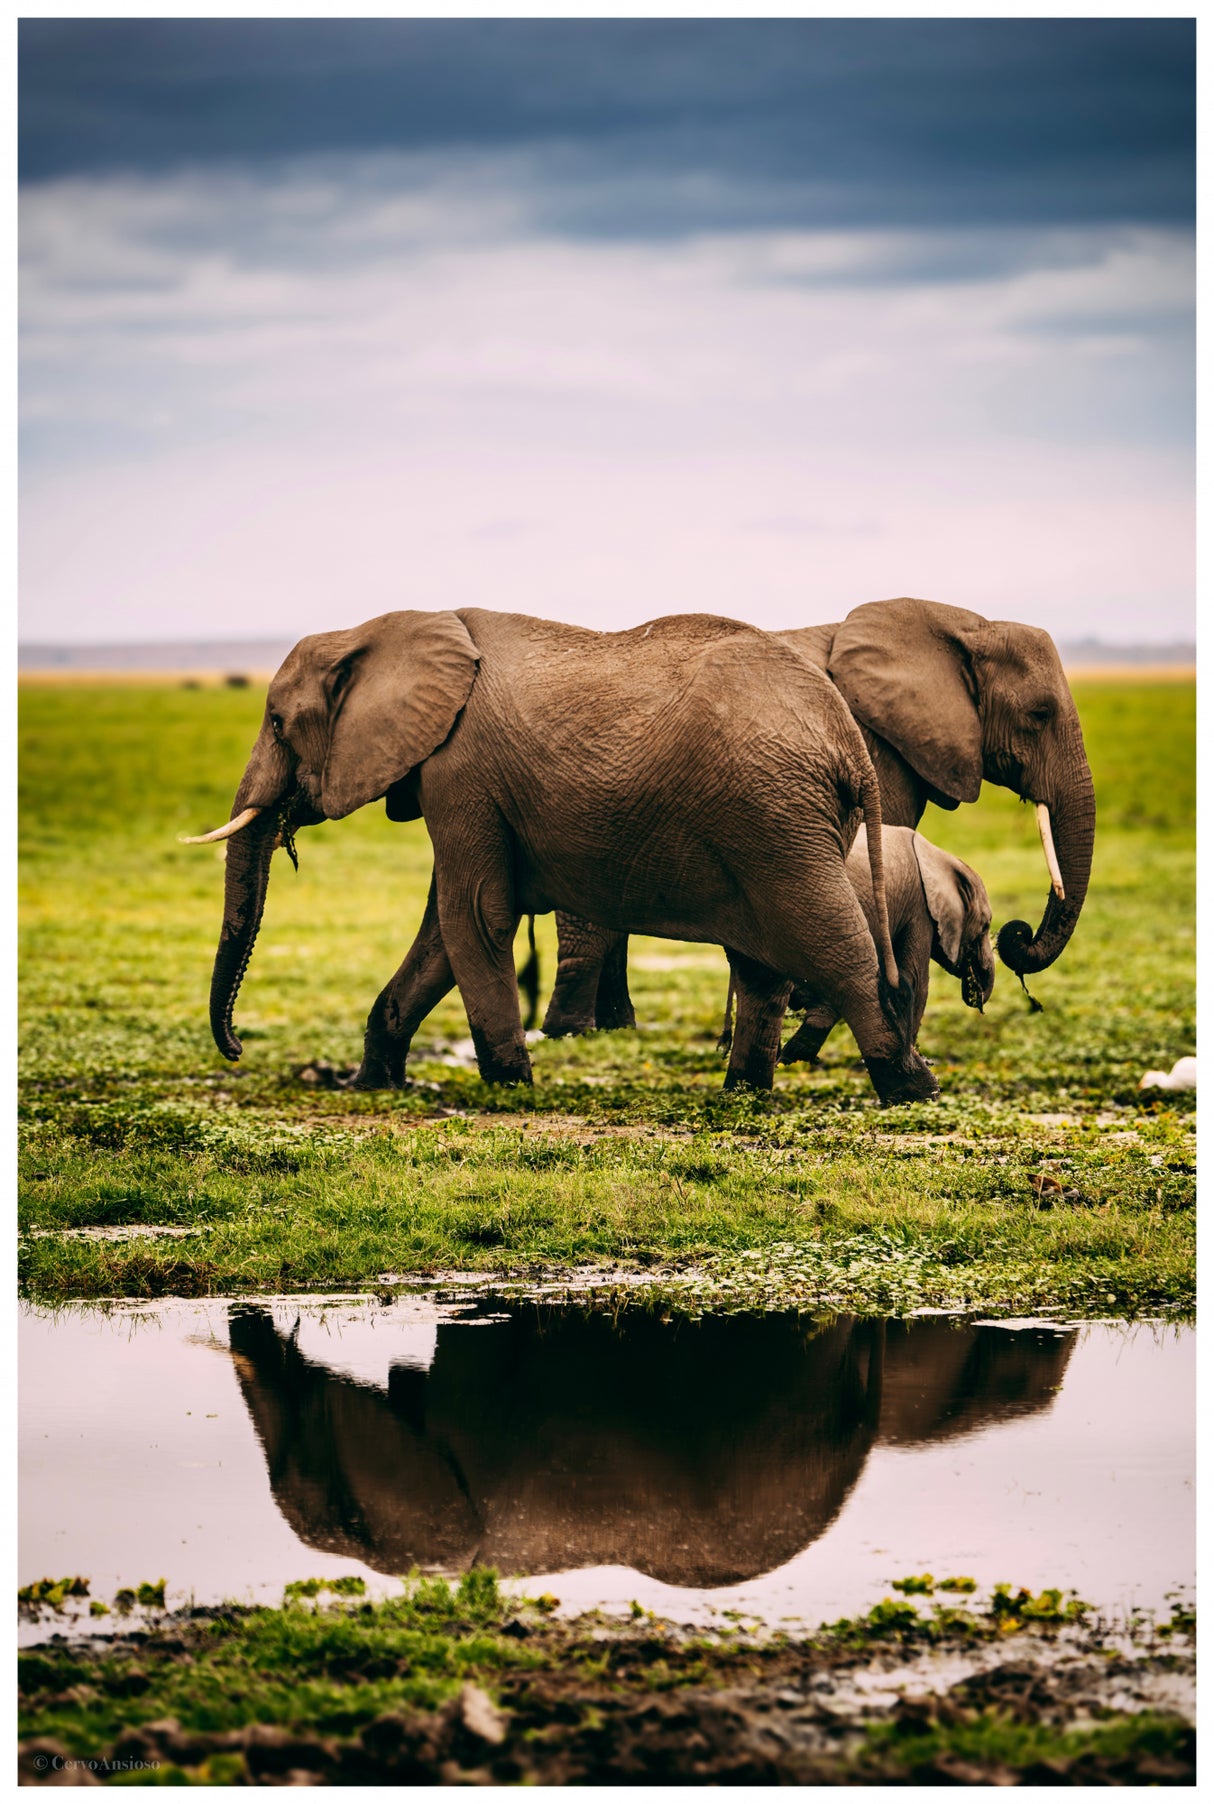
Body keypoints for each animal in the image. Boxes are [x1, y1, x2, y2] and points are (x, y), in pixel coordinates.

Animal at [185, 609, 939, 1105]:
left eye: (278, 722)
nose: (236, 1047)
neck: (387, 629)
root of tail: (846, 737)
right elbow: (440, 932)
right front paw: (373, 1084)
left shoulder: (461, 770)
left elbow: (473, 916)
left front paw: (510, 1086)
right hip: (777, 821)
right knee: (761, 961)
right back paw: (743, 1092)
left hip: (774, 816)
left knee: (832, 941)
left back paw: (910, 1089)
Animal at [540, 597, 1095, 1038]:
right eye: (1040, 714)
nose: (1018, 935)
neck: (964, 625)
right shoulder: (878, 747)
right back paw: (573, 1032)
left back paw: (614, 1026)